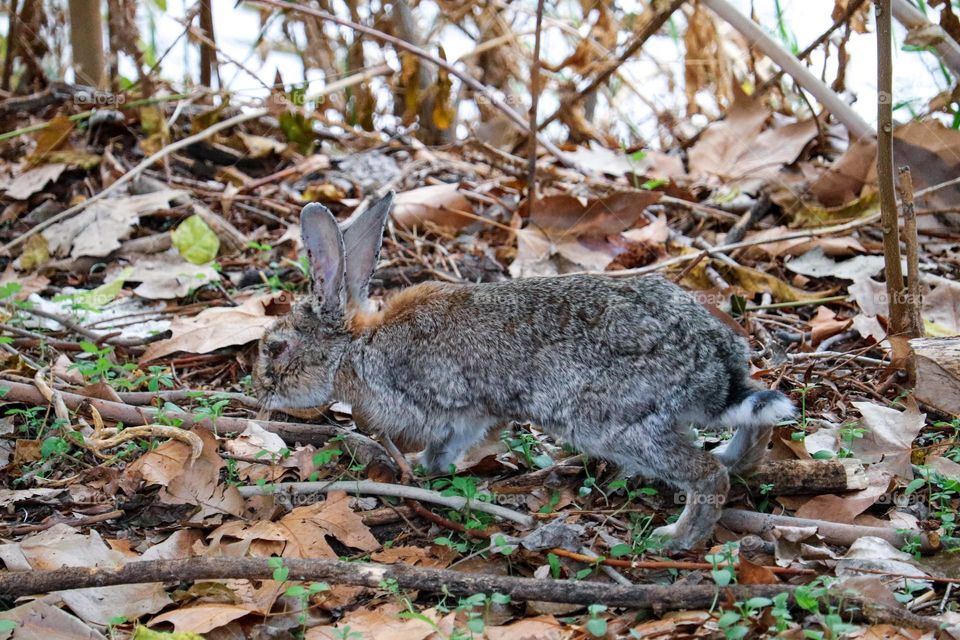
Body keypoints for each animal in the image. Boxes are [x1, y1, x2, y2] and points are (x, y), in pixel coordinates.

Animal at [255, 190, 796, 552]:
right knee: (753, 425)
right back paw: (732, 458)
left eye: (276, 348)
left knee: (706, 477)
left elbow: (445, 443)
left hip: (616, 426)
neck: (356, 346)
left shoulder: (452, 407)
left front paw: (426, 471)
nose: (259, 389)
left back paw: (676, 537)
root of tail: (713, 367)